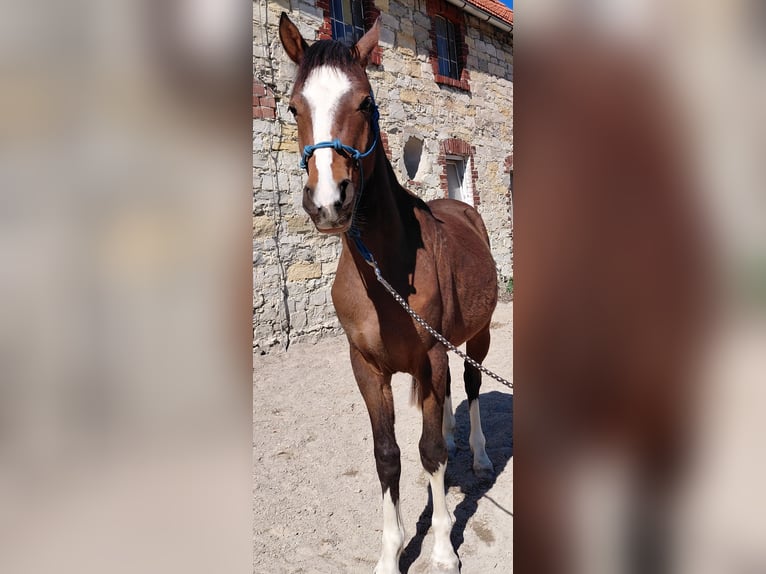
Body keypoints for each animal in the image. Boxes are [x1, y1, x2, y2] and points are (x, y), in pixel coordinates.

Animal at [279, 13, 499, 574]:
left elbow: (429, 454)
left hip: (478, 337)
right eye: (293, 107)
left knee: (470, 386)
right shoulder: (367, 368)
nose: (328, 202)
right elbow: (389, 455)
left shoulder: (431, 355)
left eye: (365, 102)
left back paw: (480, 455)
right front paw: (390, 552)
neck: (384, 273)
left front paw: (442, 548)